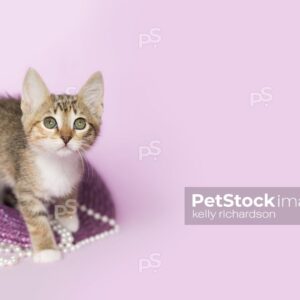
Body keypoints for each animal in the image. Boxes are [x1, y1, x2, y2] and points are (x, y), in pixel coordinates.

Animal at [0, 68, 103, 262]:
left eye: (80, 123)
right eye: (49, 122)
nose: (66, 137)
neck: (57, 163)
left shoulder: (76, 171)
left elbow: (70, 192)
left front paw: (68, 218)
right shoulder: (25, 189)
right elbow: (37, 219)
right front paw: (46, 249)